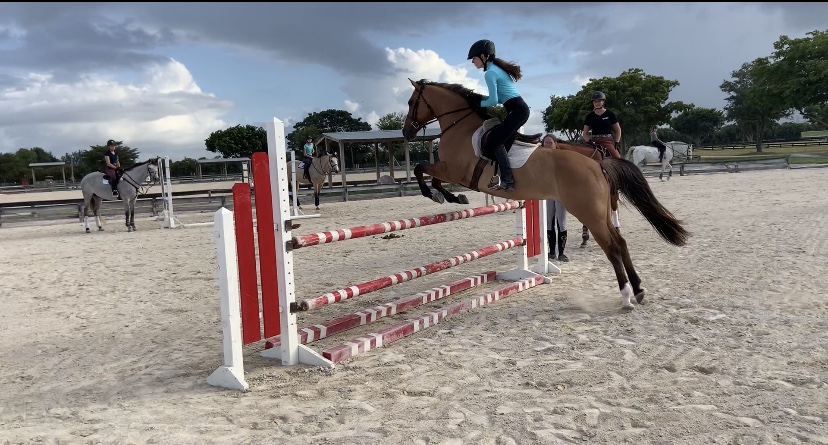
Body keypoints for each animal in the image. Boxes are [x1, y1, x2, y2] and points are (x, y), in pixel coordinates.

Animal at [404, 79, 688, 308]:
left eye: (411, 101)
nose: (407, 132)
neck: (460, 127)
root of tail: (598, 164)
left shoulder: (453, 171)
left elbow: (422, 170)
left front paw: (442, 196)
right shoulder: (450, 171)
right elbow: (430, 174)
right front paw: (451, 197)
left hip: (590, 214)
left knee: (612, 247)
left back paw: (626, 296)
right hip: (602, 213)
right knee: (621, 242)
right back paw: (638, 290)